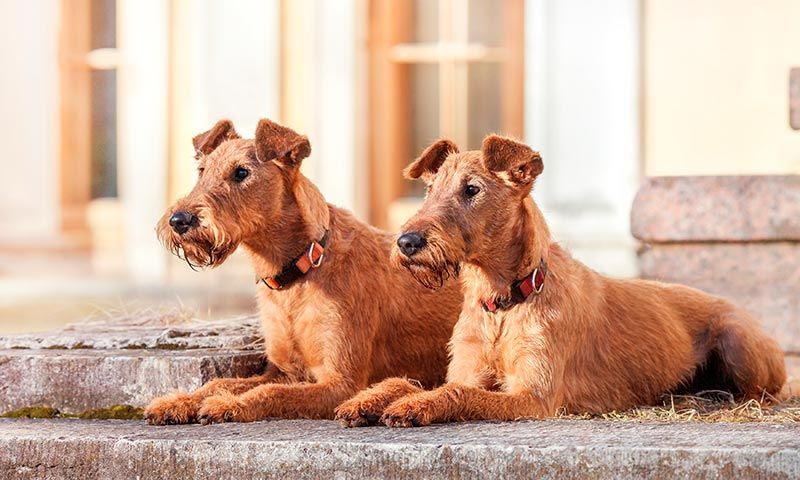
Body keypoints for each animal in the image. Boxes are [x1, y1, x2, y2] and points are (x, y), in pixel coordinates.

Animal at [141, 120, 460, 424]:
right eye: (201, 170)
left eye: (241, 172)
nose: (179, 220)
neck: (298, 272)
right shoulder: (284, 370)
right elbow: (221, 382)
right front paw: (178, 402)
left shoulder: (341, 383)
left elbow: (271, 392)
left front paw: (229, 405)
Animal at [334, 133, 784, 426]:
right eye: (429, 192)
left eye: (472, 189)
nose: (407, 242)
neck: (502, 301)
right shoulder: (468, 369)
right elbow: (409, 380)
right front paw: (368, 400)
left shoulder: (533, 397)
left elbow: (455, 393)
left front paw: (413, 407)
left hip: (739, 343)